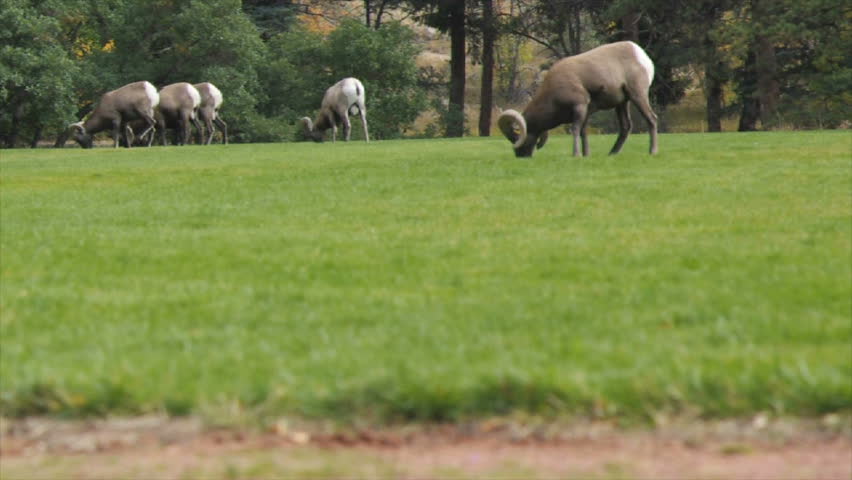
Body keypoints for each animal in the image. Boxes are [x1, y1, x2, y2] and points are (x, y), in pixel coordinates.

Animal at [498, 41, 658, 158]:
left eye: (515, 138)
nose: (520, 156)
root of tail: (642, 56)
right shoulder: (585, 111)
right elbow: (583, 132)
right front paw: (586, 155)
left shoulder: (579, 106)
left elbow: (575, 130)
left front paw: (576, 155)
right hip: (622, 103)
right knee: (625, 127)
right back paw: (612, 153)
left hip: (638, 95)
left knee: (651, 119)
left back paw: (652, 151)